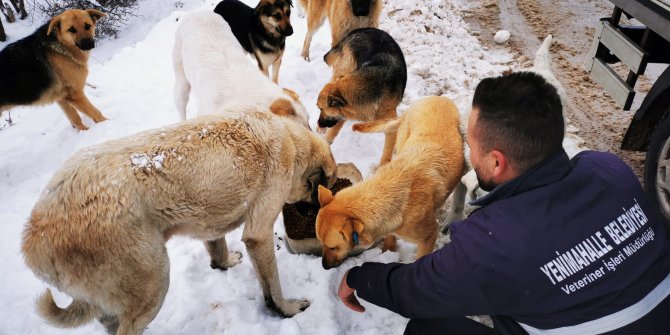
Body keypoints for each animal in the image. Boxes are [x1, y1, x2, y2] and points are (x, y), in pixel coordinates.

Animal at [21, 113, 338, 335]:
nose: (319, 207)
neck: (292, 143)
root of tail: (34, 239)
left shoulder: (211, 220)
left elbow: (218, 251)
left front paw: (225, 263)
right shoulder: (259, 233)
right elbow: (272, 287)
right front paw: (287, 309)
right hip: (155, 280)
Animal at [316, 96, 464, 270]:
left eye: (332, 247)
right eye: (321, 243)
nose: (324, 266)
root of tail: (438, 97)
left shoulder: (429, 236)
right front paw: (389, 248)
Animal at [318, 28, 406, 165]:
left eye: (321, 109)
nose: (319, 123)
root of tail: (358, 31)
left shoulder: (391, 126)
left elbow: (386, 155)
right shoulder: (344, 112)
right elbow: (333, 131)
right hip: (344, 69)